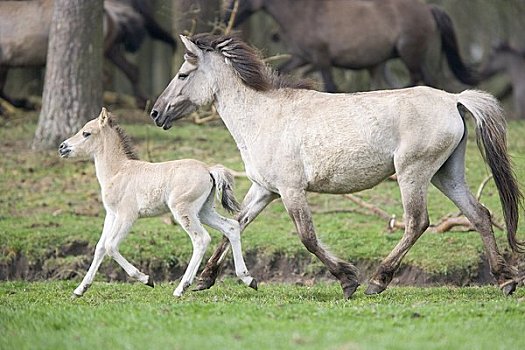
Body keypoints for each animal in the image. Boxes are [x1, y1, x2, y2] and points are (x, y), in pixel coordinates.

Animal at [0, 0, 176, 108]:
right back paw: (141, 102)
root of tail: (112, 13)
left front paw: (22, 103)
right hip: (111, 50)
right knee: (131, 70)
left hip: (105, 51)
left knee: (107, 75)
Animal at [59, 108, 256, 296]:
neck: (118, 171)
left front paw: (146, 279)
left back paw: (181, 288)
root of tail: (209, 169)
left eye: (86, 133)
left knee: (201, 239)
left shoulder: (127, 215)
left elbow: (111, 246)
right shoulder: (112, 215)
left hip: (183, 210)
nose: (62, 147)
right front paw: (80, 290)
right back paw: (248, 279)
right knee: (231, 227)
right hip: (203, 211)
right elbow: (100, 247)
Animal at [150, 34, 520, 300]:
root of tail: (453, 99)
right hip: (446, 175)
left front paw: (348, 280)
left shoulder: (291, 191)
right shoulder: (265, 190)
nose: (155, 112)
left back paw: (377, 281)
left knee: (417, 222)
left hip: (413, 173)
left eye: (183, 74)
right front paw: (206, 279)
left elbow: (308, 238)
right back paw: (505, 281)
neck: (263, 116)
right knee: (479, 215)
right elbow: (236, 225)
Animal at [223, 0, 476, 91]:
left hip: (410, 55)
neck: (304, 12)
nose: (227, 18)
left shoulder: (322, 58)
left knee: (419, 80)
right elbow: (282, 70)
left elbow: (331, 86)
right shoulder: (303, 57)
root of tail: (429, 8)